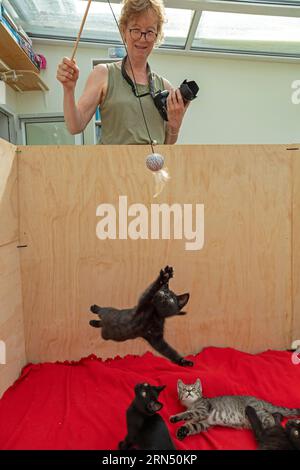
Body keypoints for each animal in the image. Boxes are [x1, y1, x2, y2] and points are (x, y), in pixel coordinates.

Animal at [169, 378, 300, 440]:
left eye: (193, 389)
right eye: (184, 389)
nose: (189, 391)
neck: (192, 404)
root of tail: (258, 399)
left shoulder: (203, 410)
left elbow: (188, 413)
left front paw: (175, 417)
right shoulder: (205, 423)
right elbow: (192, 425)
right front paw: (182, 431)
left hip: (257, 411)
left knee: (271, 417)